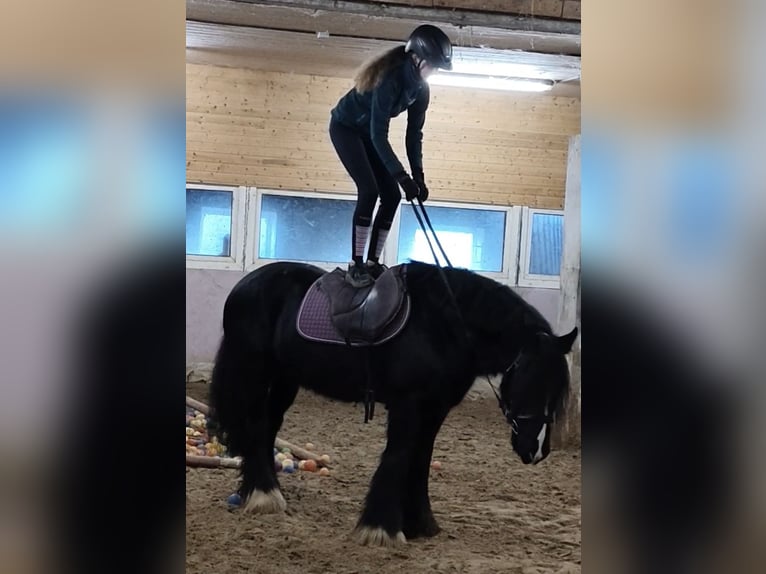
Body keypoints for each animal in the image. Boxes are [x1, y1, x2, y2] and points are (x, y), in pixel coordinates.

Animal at [209, 260, 578, 546]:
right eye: (532, 379)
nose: (537, 450)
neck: (444, 326)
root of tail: (245, 285)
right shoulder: (408, 404)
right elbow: (399, 456)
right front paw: (381, 528)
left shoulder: (435, 409)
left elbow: (421, 460)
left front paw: (420, 524)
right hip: (255, 370)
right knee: (255, 425)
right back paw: (263, 495)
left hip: (287, 379)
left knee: (268, 426)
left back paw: (264, 491)